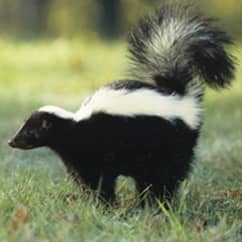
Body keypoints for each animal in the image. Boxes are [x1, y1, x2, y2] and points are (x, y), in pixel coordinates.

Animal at [8, 3, 235, 202]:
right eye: (22, 127)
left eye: (30, 131)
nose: (11, 141)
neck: (74, 126)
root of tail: (178, 96)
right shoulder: (77, 159)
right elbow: (85, 179)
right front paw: (90, 201)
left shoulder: (96, 150)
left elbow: (100, 180)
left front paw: (104, 203)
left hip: (170, 144)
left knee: (165, 176)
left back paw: (156, 202)